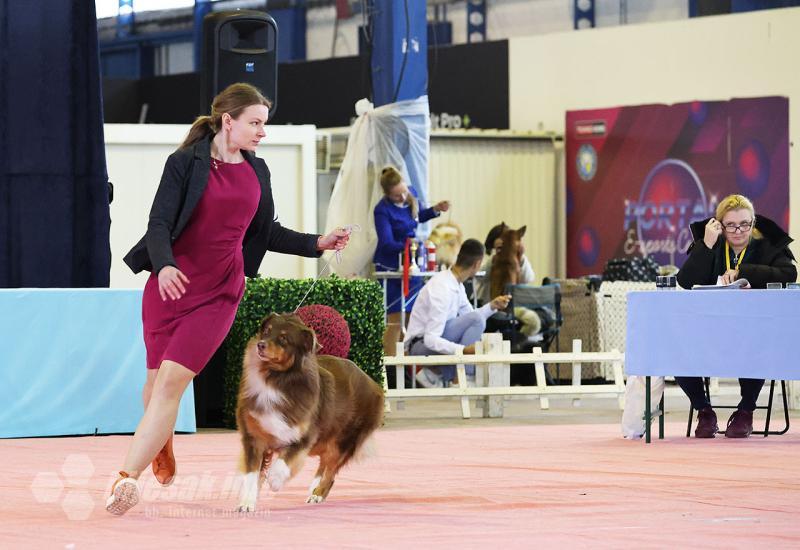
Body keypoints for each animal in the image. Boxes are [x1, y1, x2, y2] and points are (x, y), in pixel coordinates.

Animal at [236, 312, 382, 512]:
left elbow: (283, 462)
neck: (277, 379)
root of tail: (375, 385)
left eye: (283, 338)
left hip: (344, 440)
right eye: (266, 331)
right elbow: (251, 475)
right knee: (325, 465)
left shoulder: (304, 436)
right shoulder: (253, 437)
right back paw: (314, 488)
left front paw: (275, 480)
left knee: (331, 472)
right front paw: (246, 503)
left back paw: (317, 494)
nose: (261, 345)